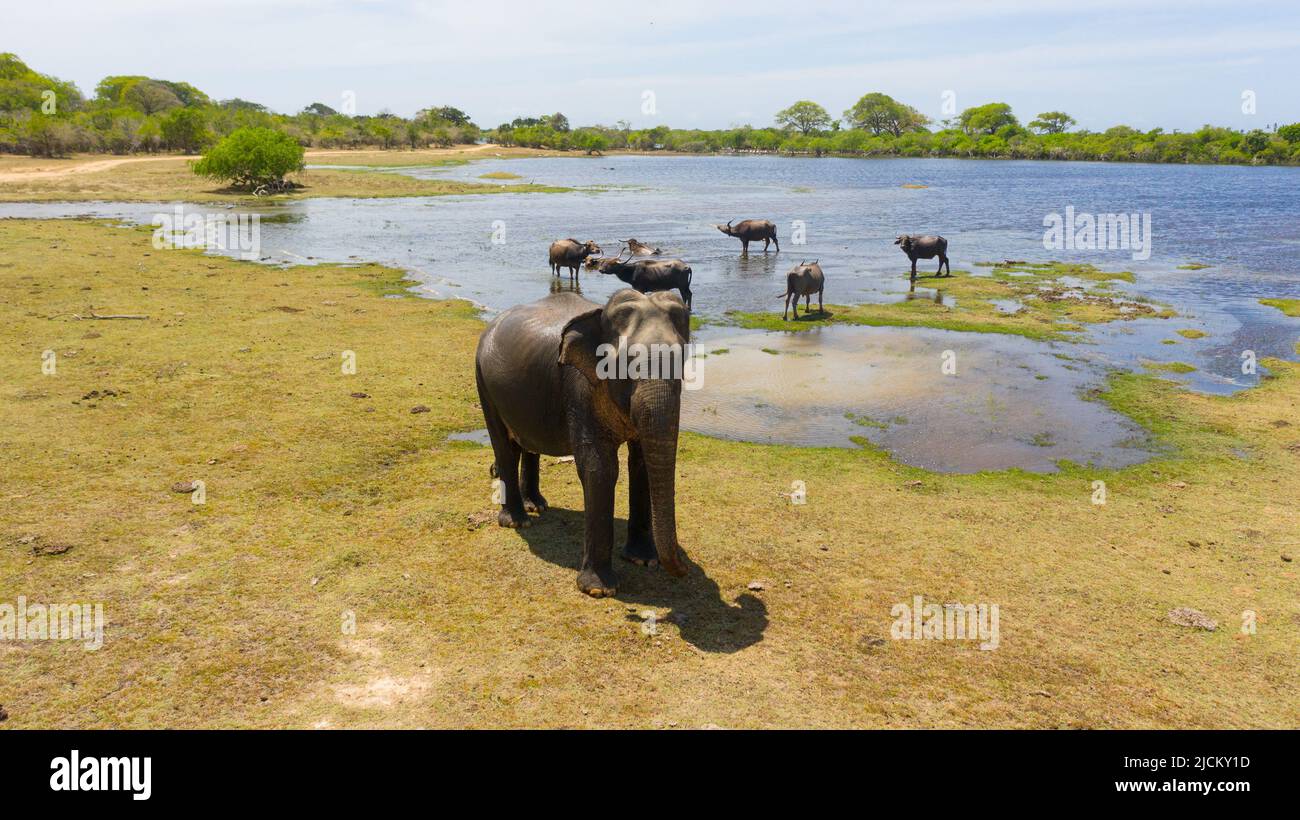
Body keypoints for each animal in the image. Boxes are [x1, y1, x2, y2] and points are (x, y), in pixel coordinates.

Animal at [474, 288, 692, 597]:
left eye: (683, 358)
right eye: (629, 362)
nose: (683, 570)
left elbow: (640, 464)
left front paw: (644, 560)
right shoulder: (578, 386)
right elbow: (600, 467)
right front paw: (599, 590)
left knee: (528, 443)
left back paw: (536, 505)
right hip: (483, 380)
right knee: (504, 447)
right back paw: (517, 520)